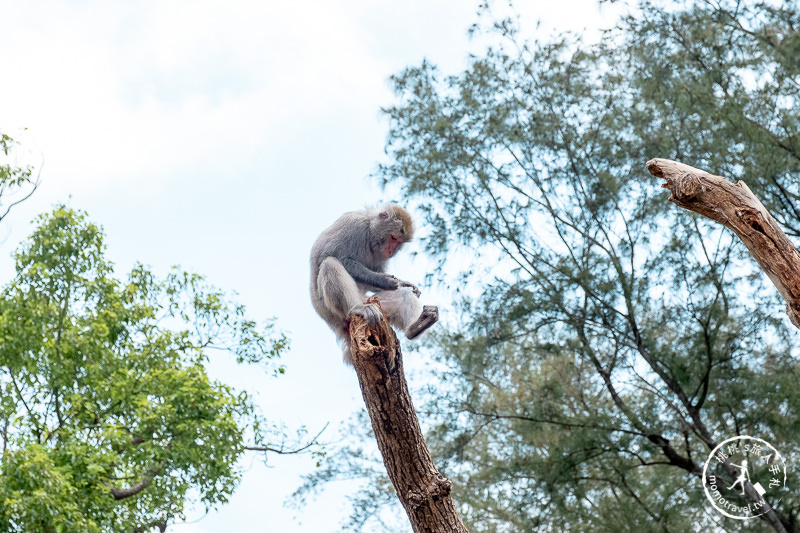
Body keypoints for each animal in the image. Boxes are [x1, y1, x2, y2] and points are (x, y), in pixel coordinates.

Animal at [310, 202, 438, 364]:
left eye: (398, 242)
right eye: (393, 238)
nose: (391, 251)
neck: (370, 233)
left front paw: (404, 284)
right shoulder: (353, 226)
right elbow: (328, 255)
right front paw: (383, 280)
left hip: (379, 307)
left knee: (403, 296)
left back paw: (416, 327)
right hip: (334, 313)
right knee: (329, 263)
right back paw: (357, 308)